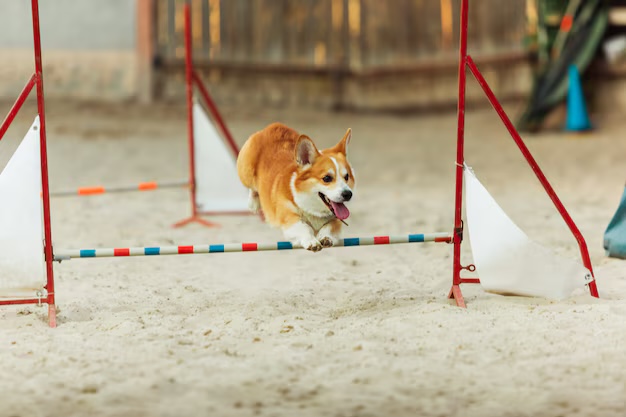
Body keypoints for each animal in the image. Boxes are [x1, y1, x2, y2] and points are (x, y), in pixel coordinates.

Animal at [236, 122, 354, 252]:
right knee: (252, 187)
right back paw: (253, 203)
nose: (348, 194)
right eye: (327, 178)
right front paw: (311, 241)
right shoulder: (289, 217)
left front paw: (325, 237)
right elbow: (303, 227)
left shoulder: (336, 220)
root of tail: (273, 126)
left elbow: (329, 227)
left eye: (346, 177)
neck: (313, 210)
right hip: (246, 172)